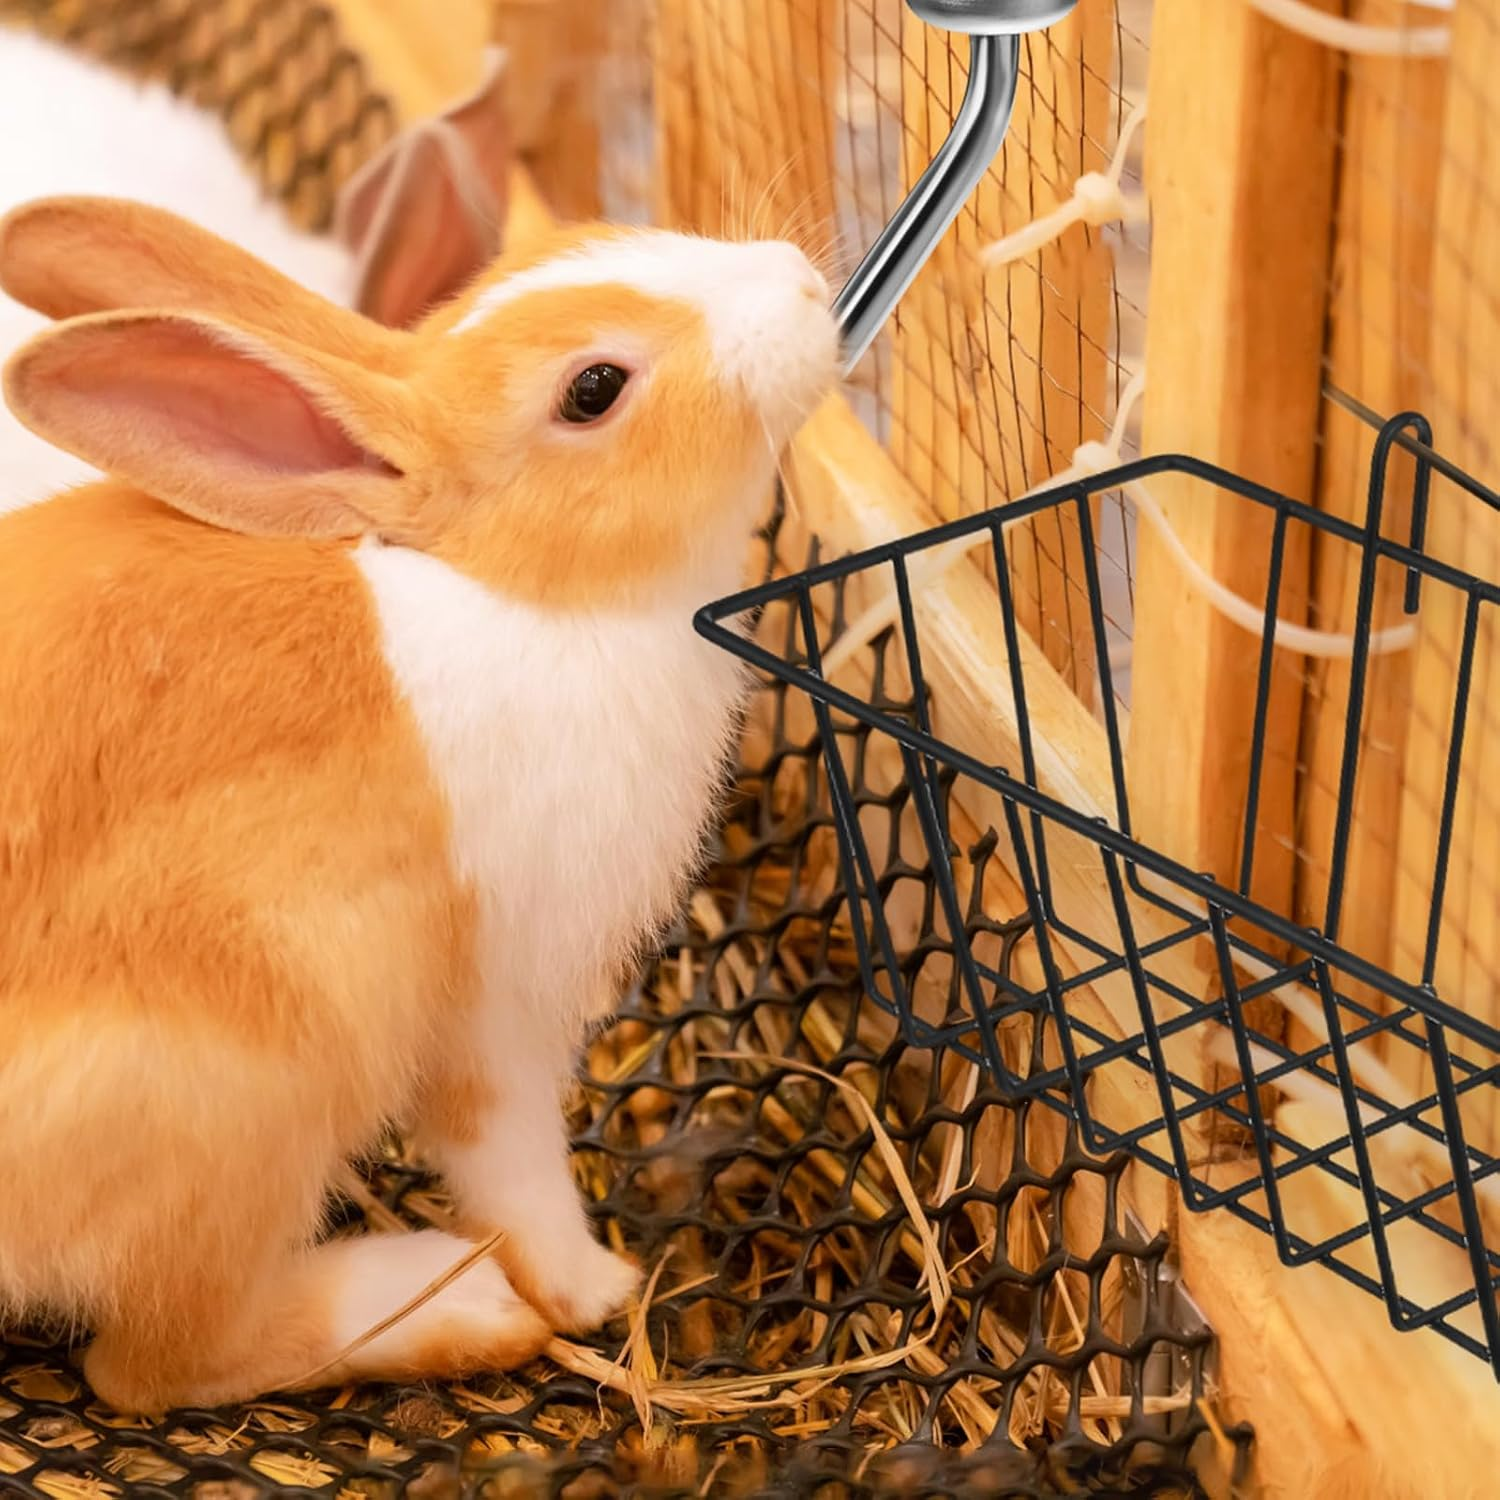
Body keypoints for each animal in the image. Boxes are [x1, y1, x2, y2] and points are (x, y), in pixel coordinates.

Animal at [0, 192, 839, 1416]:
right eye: (594, 388)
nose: (804, 286)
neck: (526, 591)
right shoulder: (500, 1004)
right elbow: (513, 1160)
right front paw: (590, 1285)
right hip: (250, 1074)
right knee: (153, 1365)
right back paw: (455, 1307)